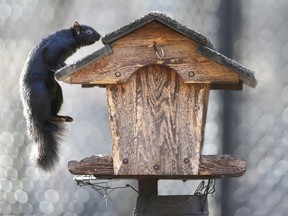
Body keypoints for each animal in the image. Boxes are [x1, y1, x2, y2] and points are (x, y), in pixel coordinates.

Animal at [19, 21, 100, 170]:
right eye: (89, 32)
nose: (99, 36)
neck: (70, 37)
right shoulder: (52, 48)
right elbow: (49, 59)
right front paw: (59, 65)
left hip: (57, 94)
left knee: (52, 114)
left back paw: (63, 118)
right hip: (41, 98)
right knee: (41, 120)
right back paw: (50, 125)